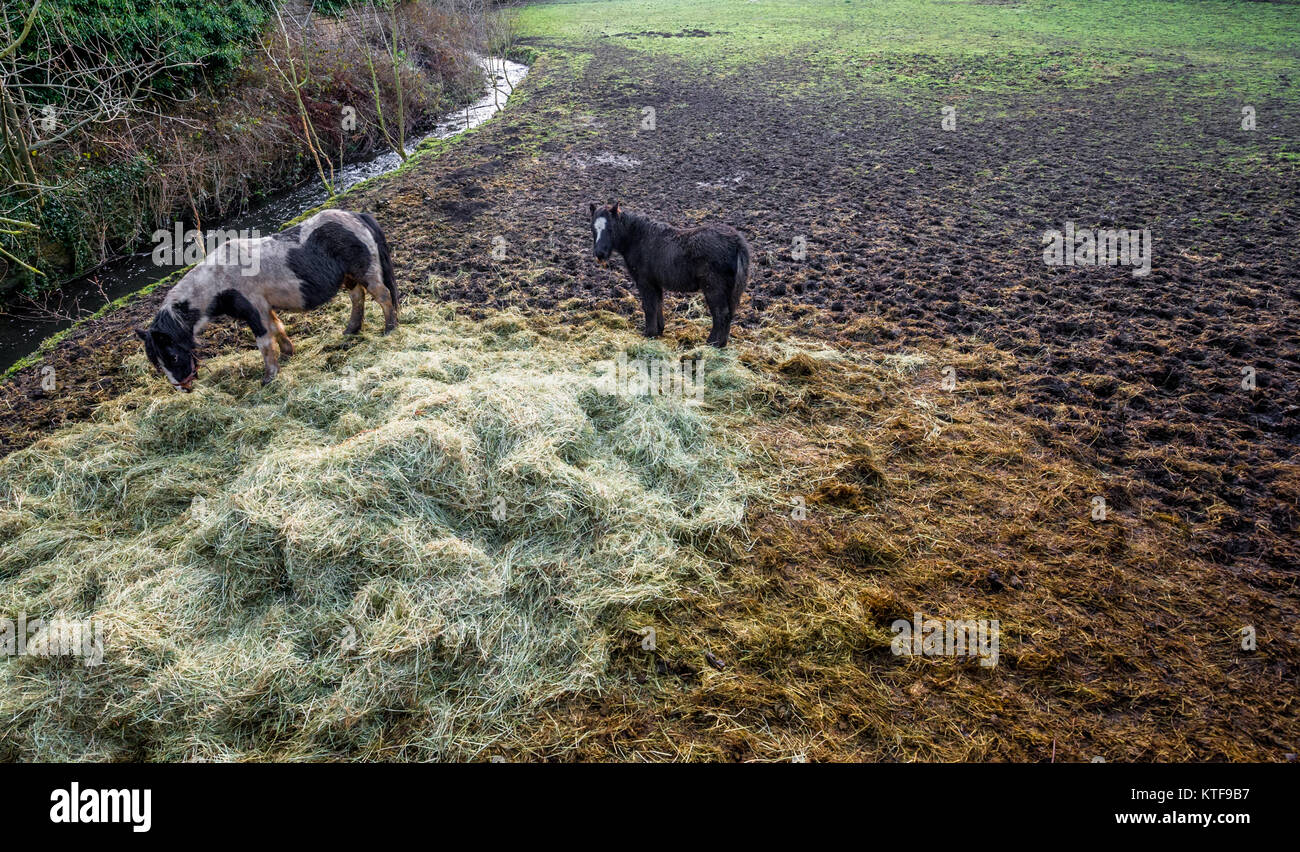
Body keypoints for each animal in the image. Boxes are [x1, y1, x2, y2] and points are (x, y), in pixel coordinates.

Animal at [135, 209, 395, 390]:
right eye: (157, 362)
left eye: (173, 356)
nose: (183, 388)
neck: (219, 280)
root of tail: (357, 216)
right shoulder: (264, 308)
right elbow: (278, 328)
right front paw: (288, 354)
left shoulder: (254, 312)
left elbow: (264, 343)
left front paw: (268, 378)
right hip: (350, 278)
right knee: (358, 297)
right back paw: (351, 330)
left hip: (367, 273)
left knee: (383, 296)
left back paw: (389, 329)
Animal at [590, 200, 754, 346]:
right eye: (593, 229)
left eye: (610, 229)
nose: (599, 254)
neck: (638, 238)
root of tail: (737, 242)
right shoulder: (655, 283)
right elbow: (658, 304)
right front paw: (659, 330)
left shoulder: (645, 282)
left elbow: (649, 306)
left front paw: (649, 333)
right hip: (730, 290)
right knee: (729, 314)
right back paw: (722, 343)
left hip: (714, 288)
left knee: (721, 314)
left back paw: (712, 343)